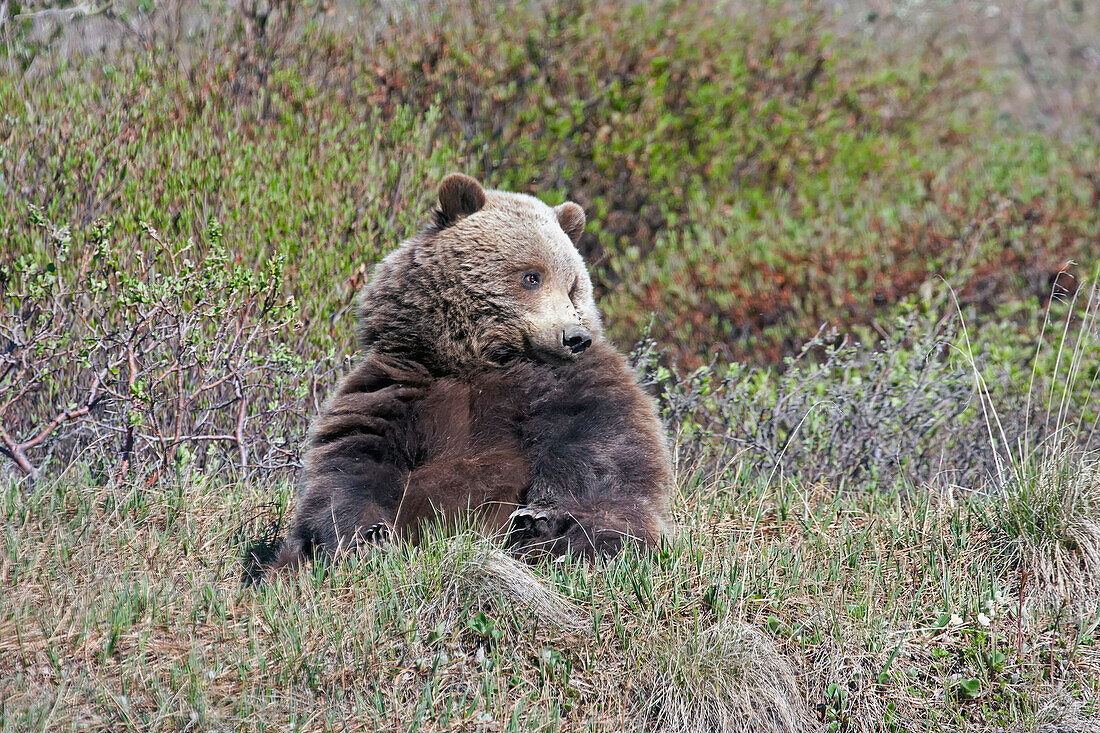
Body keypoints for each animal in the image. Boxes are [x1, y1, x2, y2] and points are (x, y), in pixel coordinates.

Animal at [270, 173, 673, 567]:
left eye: (574, 286)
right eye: (532, 276)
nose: (575, 337)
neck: (479, 357)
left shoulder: (571, 384)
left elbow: (597, 446)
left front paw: (539, 517)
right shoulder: (401, 382)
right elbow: (353, 459)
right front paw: (367, 537)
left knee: (614, 522)